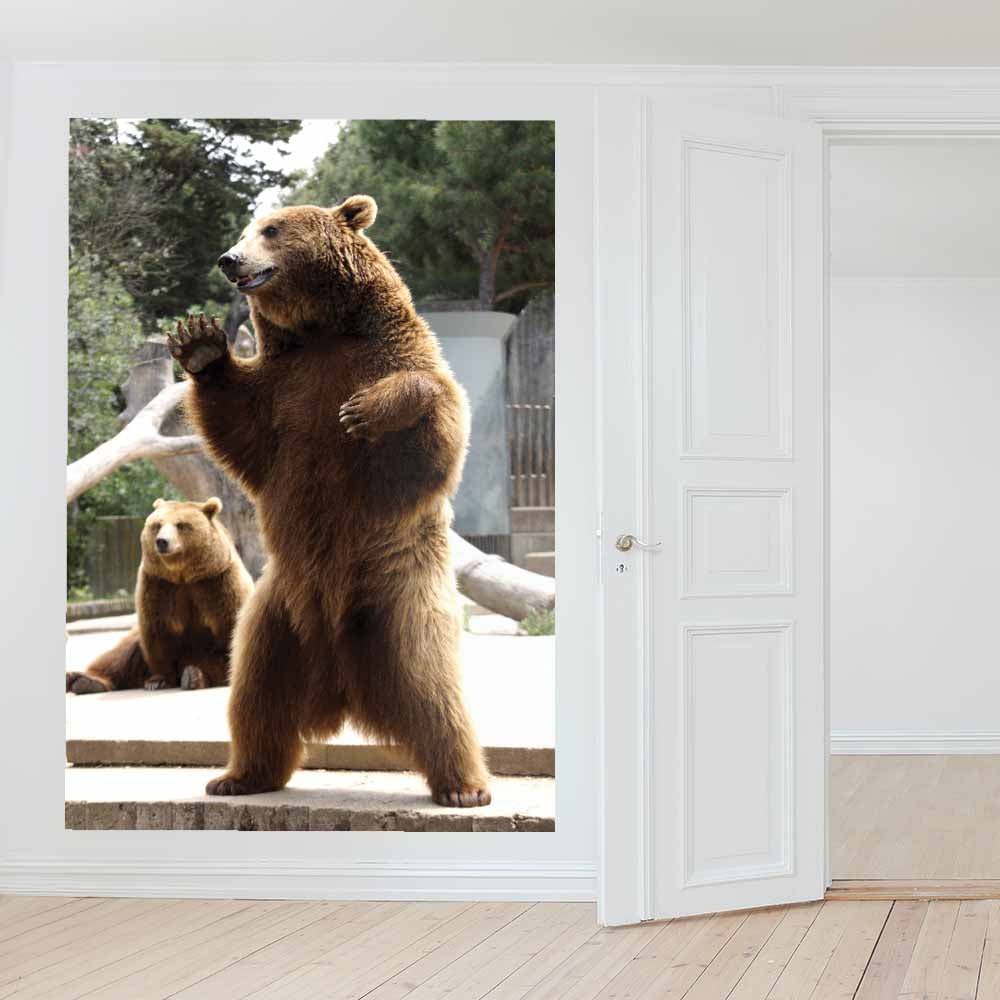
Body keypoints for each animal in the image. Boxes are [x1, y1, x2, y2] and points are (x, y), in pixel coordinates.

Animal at [66, 498, 254, 694]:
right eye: (157, 525)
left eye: (181, 524)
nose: (162, 541)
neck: (183, 575)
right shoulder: (159, 585)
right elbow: (157, 631)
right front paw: (158, 680)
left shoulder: (217, 583)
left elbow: (228, 634)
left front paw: (194, 675)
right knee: (119, 654)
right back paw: (85, 680)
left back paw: (192, 676)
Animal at [167, 195, 492, 807]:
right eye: (245, 229)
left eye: (271, 229)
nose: (229, 259)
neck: (322, 331)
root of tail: (340, 685)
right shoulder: (282, 395)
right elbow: (240, 426)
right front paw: (199, 343)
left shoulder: (393, 359)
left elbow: (435, 428)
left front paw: (366, 410)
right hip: (272, 615)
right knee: (255, 695)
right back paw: (238, 776)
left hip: (399, 595)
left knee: (433, 688)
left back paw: (464, 786)